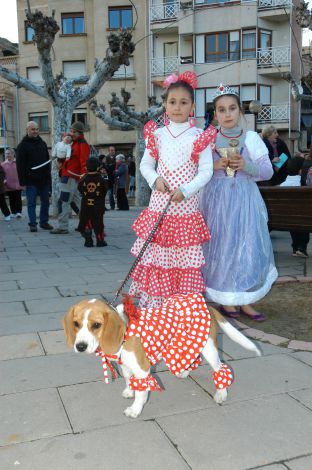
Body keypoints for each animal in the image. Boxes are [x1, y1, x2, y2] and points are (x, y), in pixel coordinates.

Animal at [63, 294, 260, 418]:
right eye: (76, 324)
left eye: (96, 325)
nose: (80, 346)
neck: (124, 333)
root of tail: (208, 306)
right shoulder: (125, 365)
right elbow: (128, 380)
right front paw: (129, 391)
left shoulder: (142, 370)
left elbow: (141, 392)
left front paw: (135, 409)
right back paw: (184, 372)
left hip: (210, 349)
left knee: (220, 368)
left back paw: (221, 393)